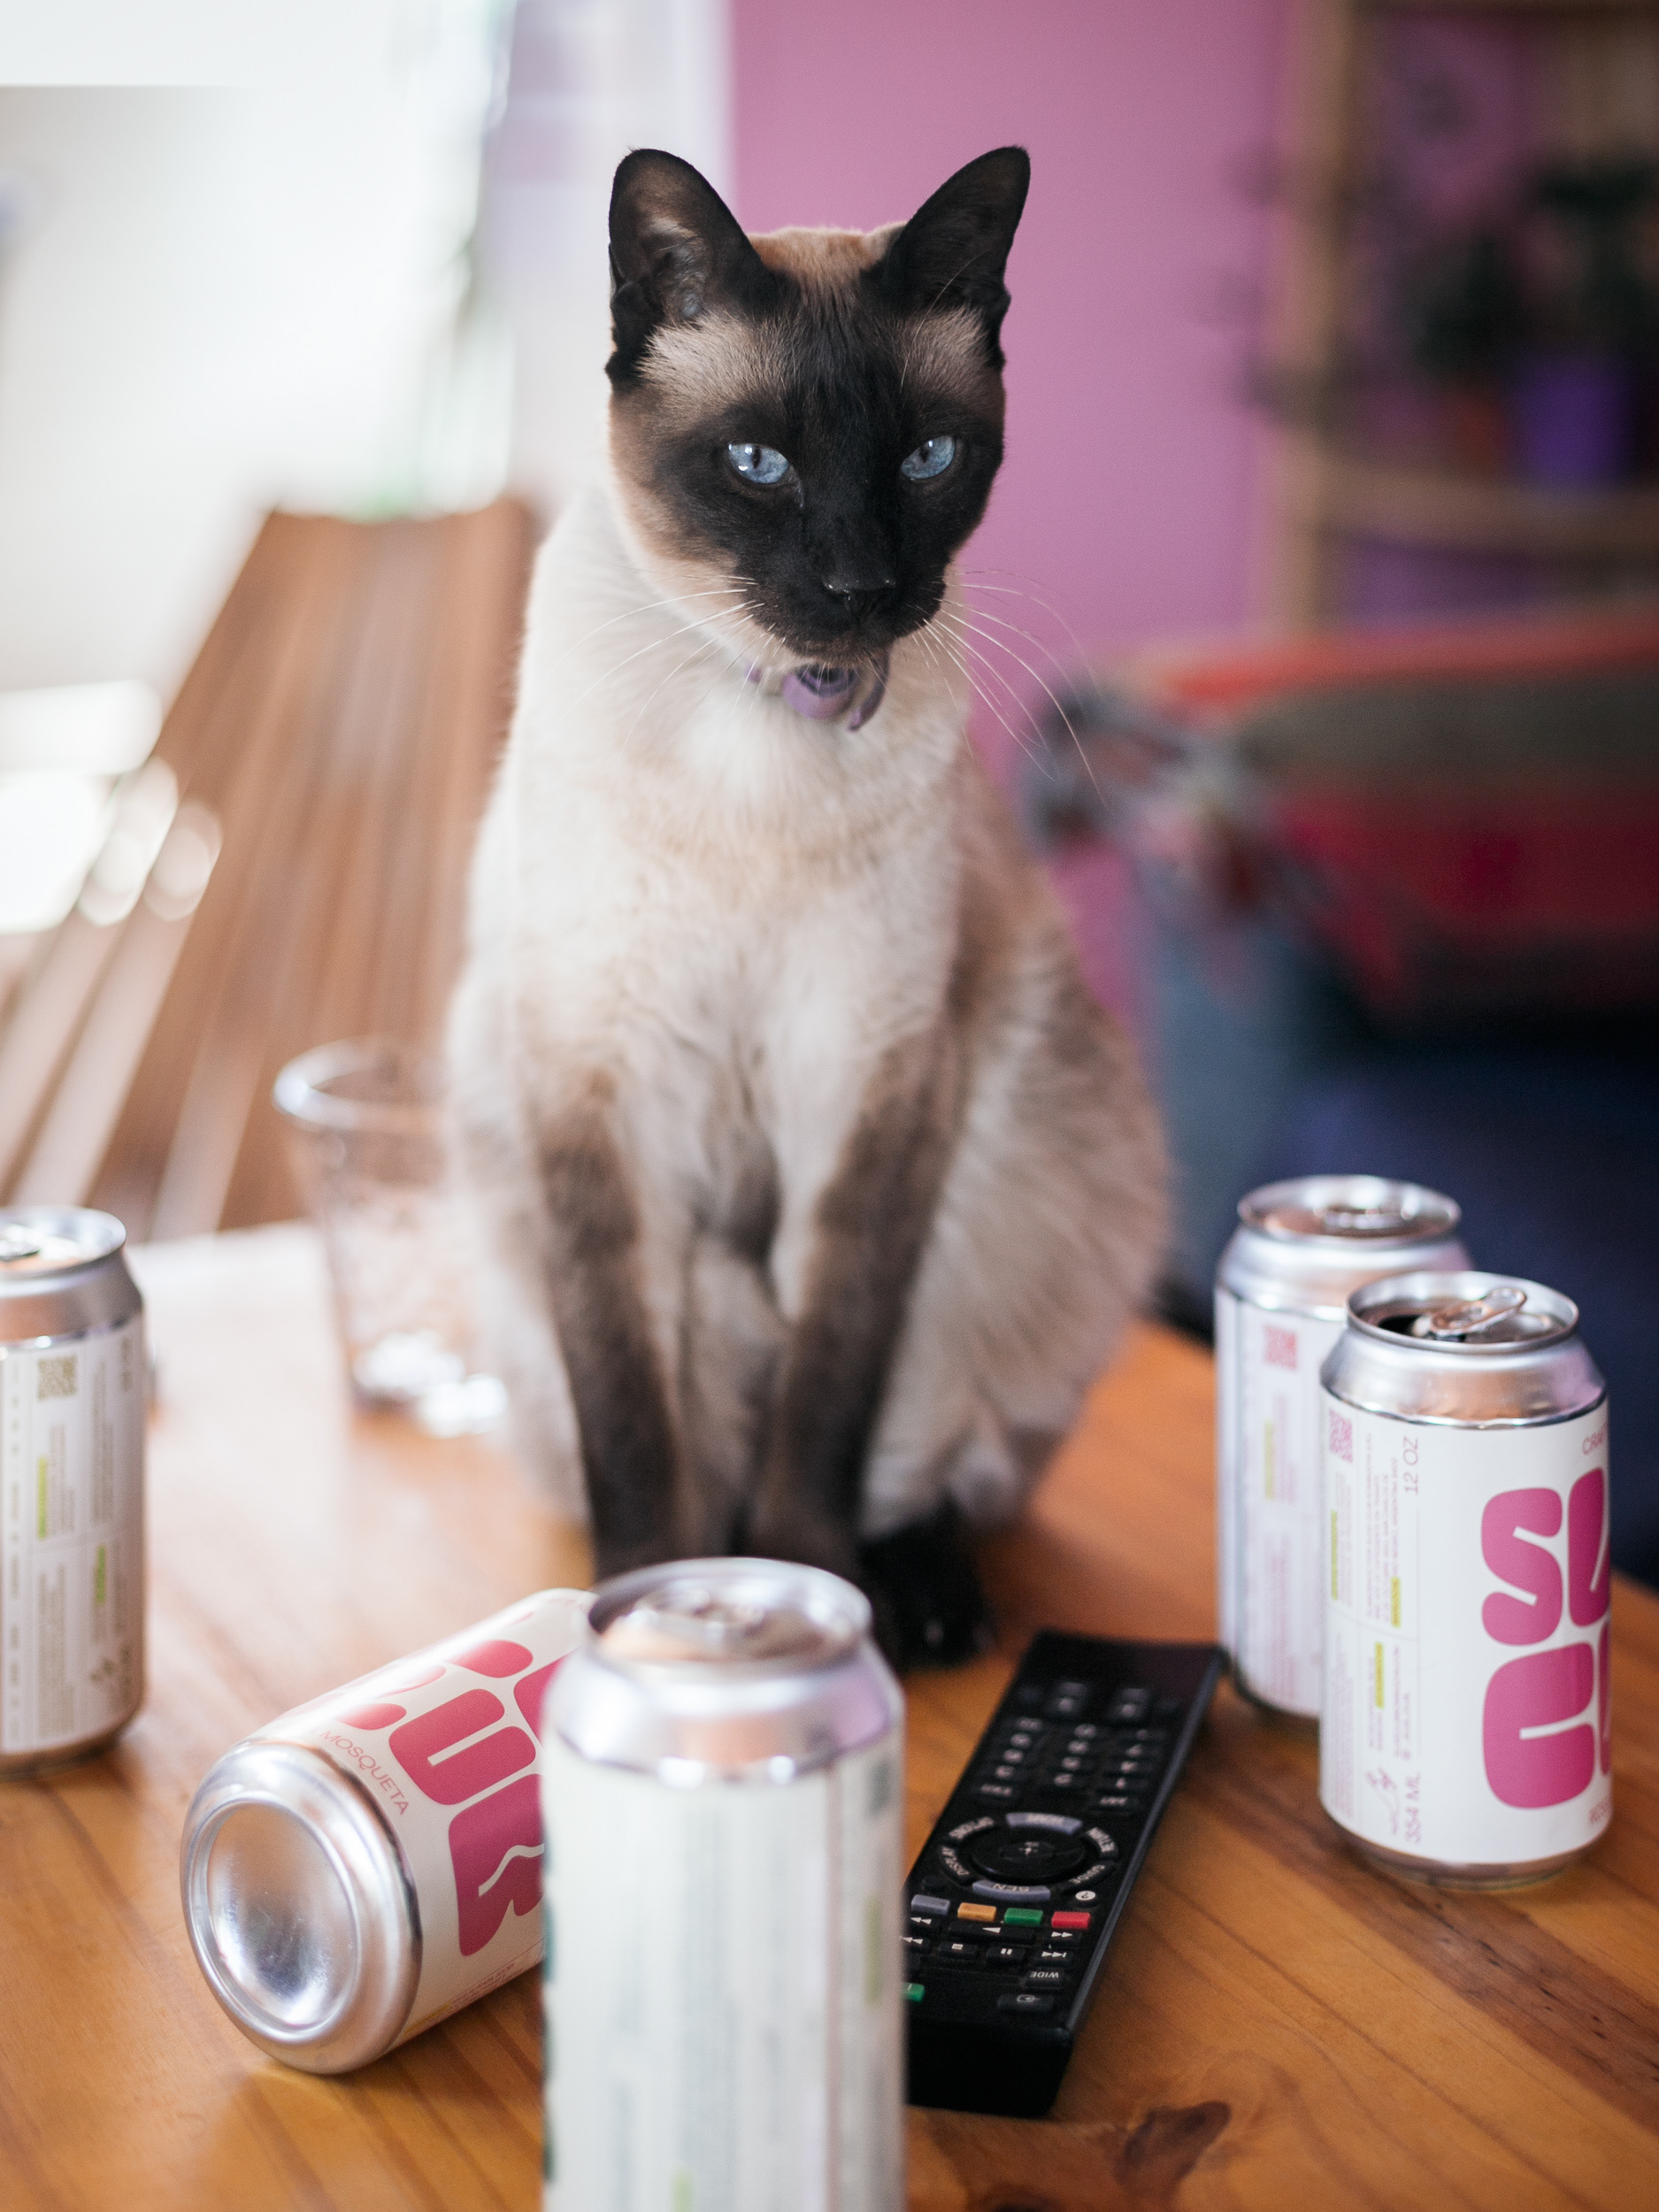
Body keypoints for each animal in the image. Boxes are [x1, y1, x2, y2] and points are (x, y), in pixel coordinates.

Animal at [448, 146, 1165, 1666]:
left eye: (925, 460)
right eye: (758, 465)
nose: (859, 587)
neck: (768, 729)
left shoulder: (870, 1086)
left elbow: (830, 1393)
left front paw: (809, 1597)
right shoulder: (599, 1100)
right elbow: (630, 1430)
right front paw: (631, 1622)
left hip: (1012, 1221)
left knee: (922, 1461)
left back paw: (922, 1606)